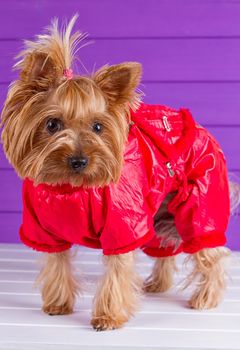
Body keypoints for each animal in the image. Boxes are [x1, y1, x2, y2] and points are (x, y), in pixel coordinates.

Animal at [0, 15, 232, 330]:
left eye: (98, 127)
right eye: (52, 124)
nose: (79, 160)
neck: (70, 188)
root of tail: (203, 131)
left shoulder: (123, 223)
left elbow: (117, 271)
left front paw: (107, 316)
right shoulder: (43, 229)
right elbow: (57, 263)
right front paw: (58, 304)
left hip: (201, 201)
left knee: (211, 251)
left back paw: (206, 298)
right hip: (159, 209)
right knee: (165, 245)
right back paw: (158, 284)